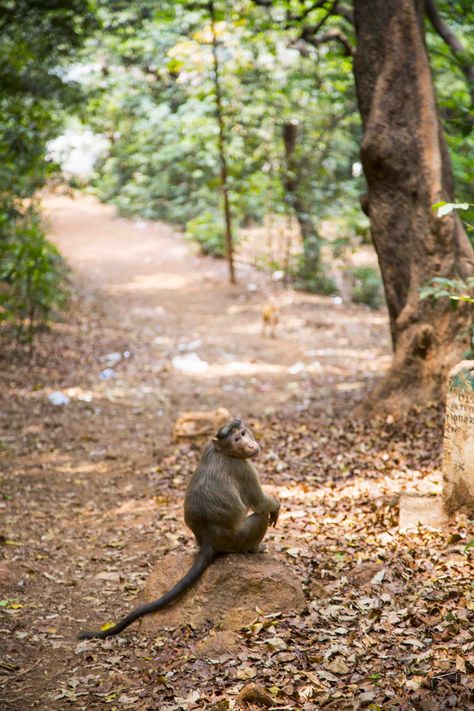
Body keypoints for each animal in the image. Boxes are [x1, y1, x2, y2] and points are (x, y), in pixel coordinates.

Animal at [76, 418, 280, 640]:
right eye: (236, 439)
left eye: (243, 433)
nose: (250, 444)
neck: (225, 452)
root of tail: (209, 541)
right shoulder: (242, 467)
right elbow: (260, 503)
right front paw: (275, 506)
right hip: (238, 539)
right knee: (260, 516)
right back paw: (255, 548)